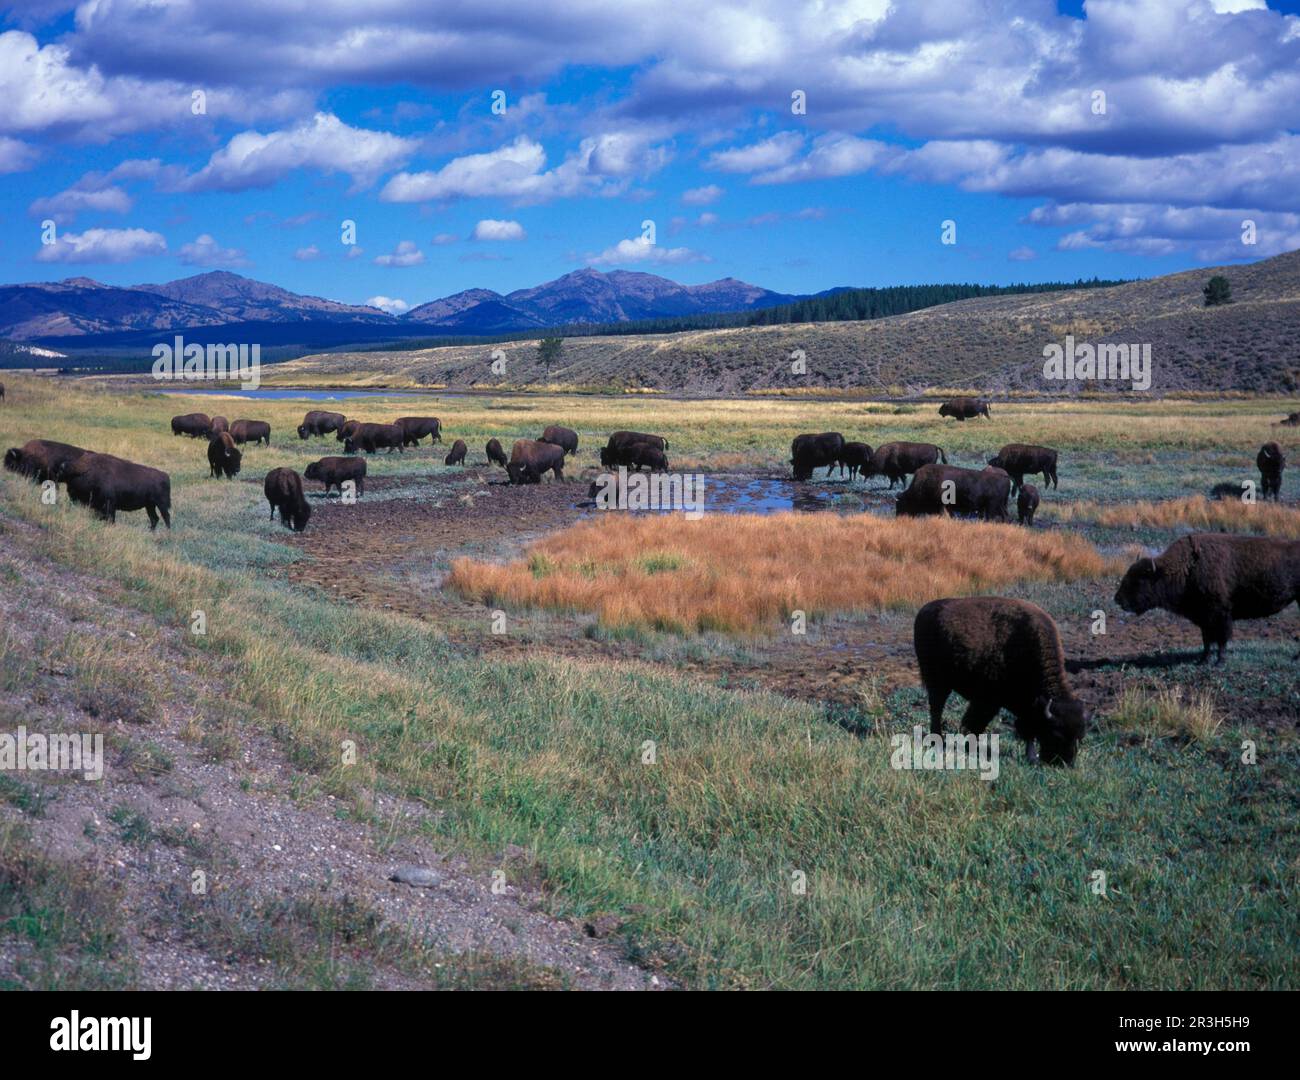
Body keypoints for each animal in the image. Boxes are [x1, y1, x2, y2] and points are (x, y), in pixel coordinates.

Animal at [914, 596, 1088, 766]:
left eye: (1080, 736)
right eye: (1056, 734)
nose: (1066, 763)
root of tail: (924, 611)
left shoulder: (1026, 707)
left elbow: (1027, 731)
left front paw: (1031, 757)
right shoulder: (987, 701)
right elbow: (974, 723)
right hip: (938, 682)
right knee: (936, 708)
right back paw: (937, 739)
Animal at [1115, 533, 1300, 664]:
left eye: (1140, 580)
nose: (1118, 599)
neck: (1187, 567)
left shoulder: (1221, 615)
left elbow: (1221, 639)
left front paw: (1220, 661)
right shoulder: (1204, 618)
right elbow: (1207, 640)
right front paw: (1202, 660)